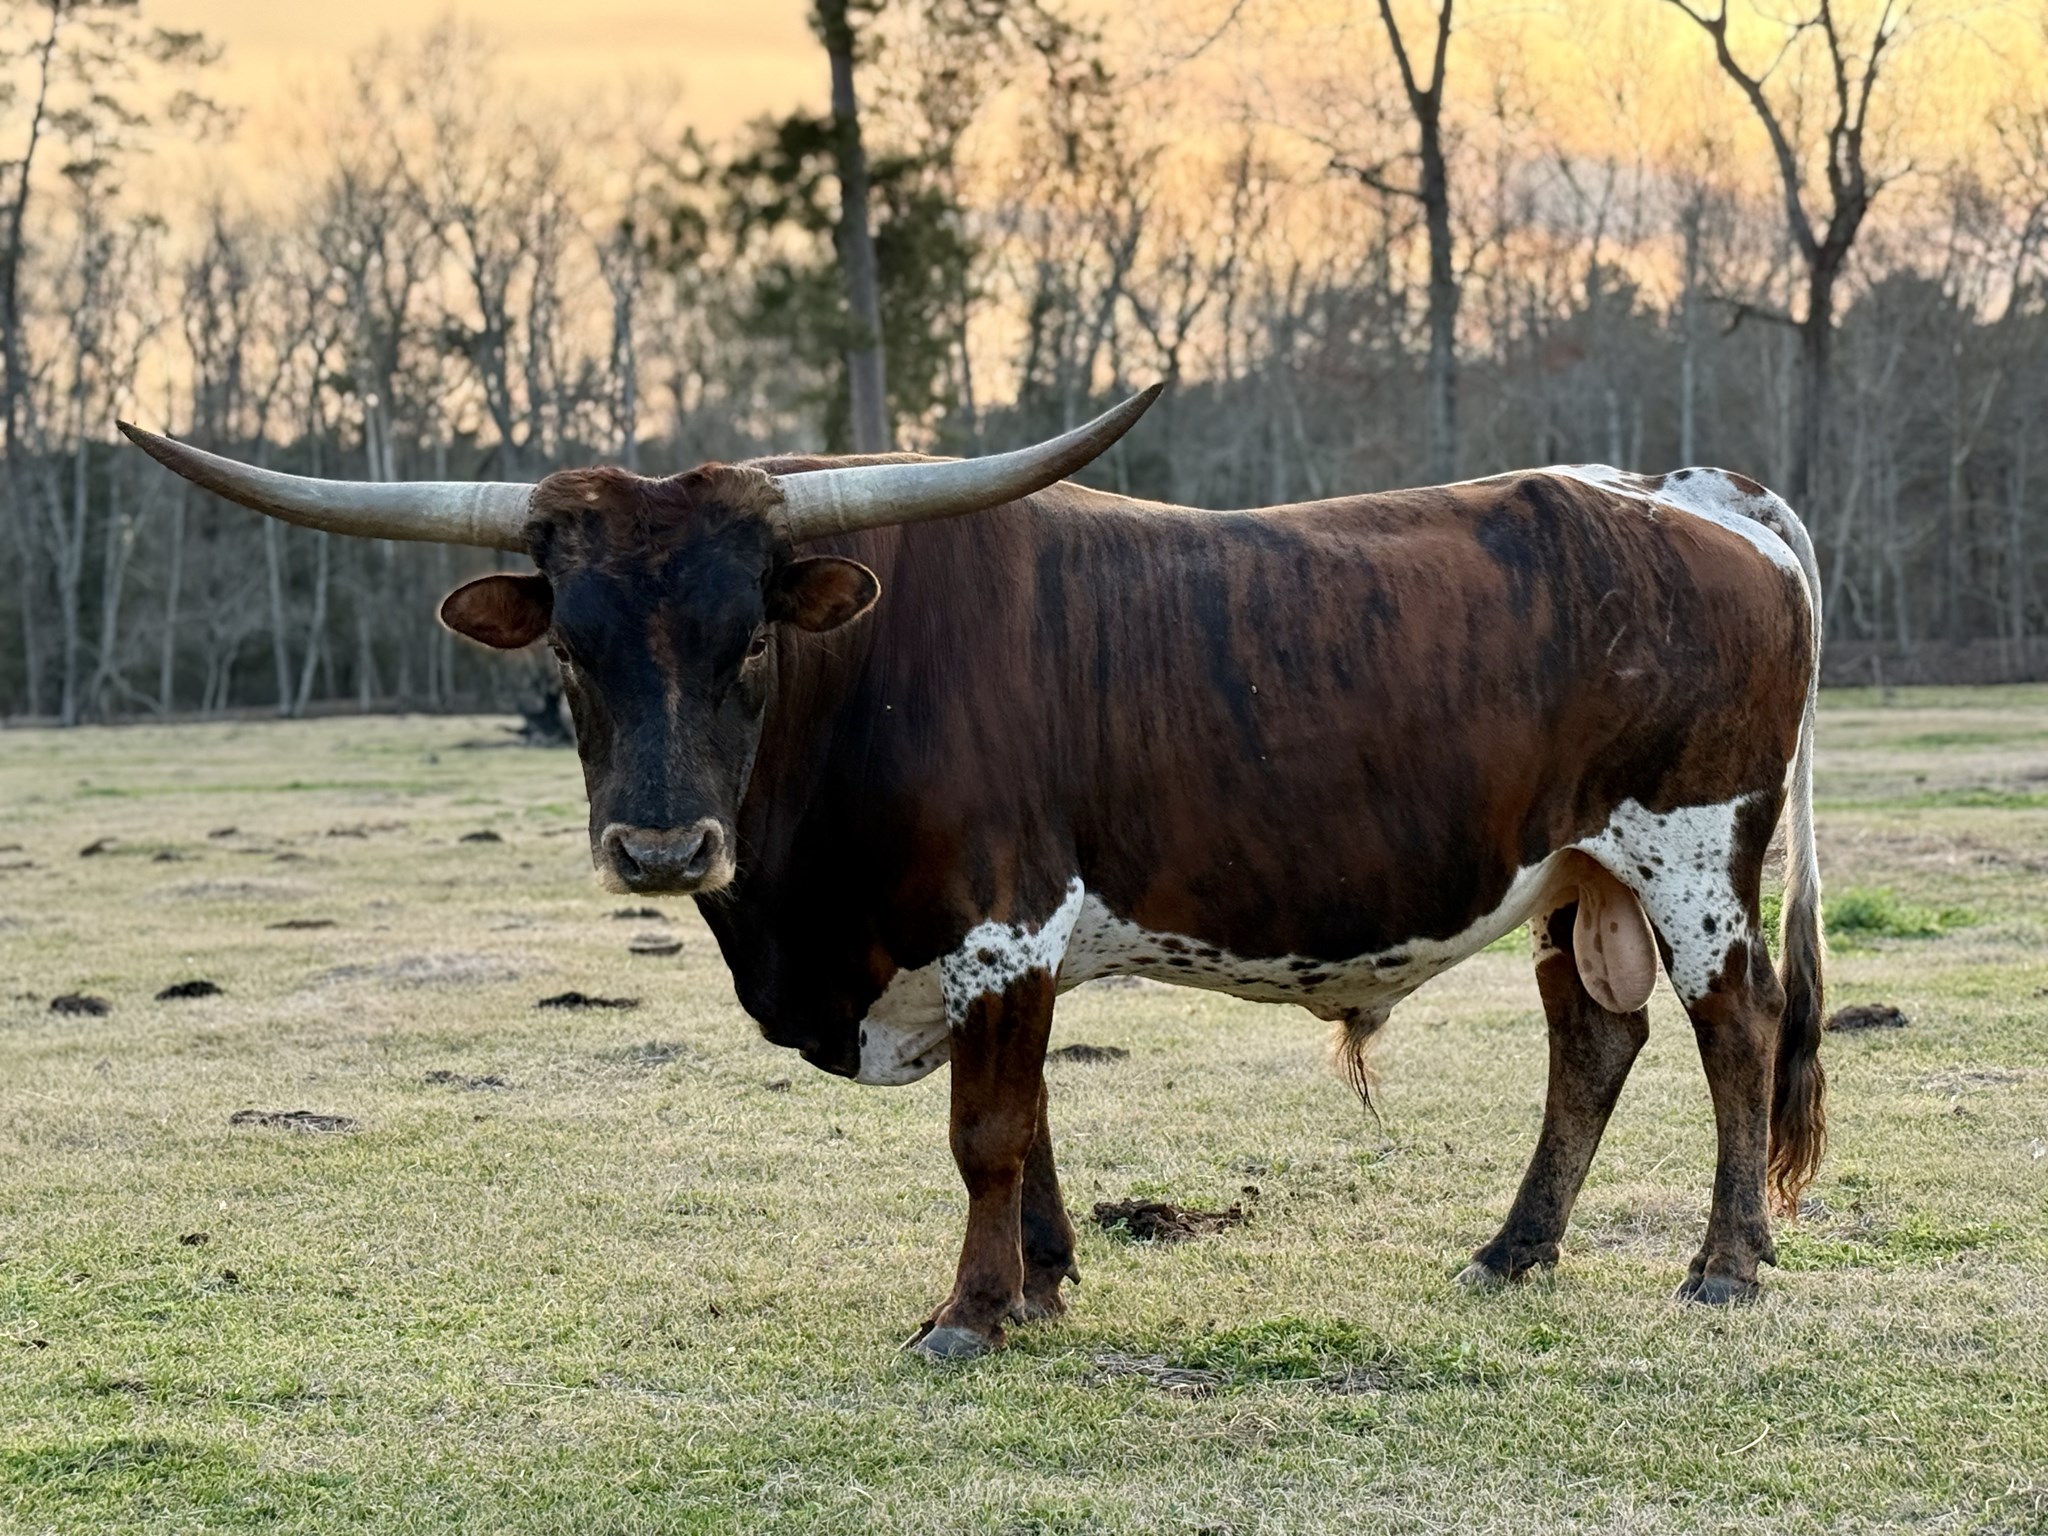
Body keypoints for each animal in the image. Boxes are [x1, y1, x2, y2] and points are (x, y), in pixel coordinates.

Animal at [120, 389, 1826, 1359]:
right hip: (1581, 872)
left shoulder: (1004, 923)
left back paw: (1728, 1268)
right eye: (571, 656)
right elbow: (1039, 1120)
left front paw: (971, 1314)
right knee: (1592, 1041)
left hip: (1693, 853)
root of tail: (1699, 494)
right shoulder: (1015, 950)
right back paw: (1512, 1252)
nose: (663, 847)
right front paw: (1049, 1282)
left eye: (748, 644)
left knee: (1734, 1032)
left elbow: (988, 1131)